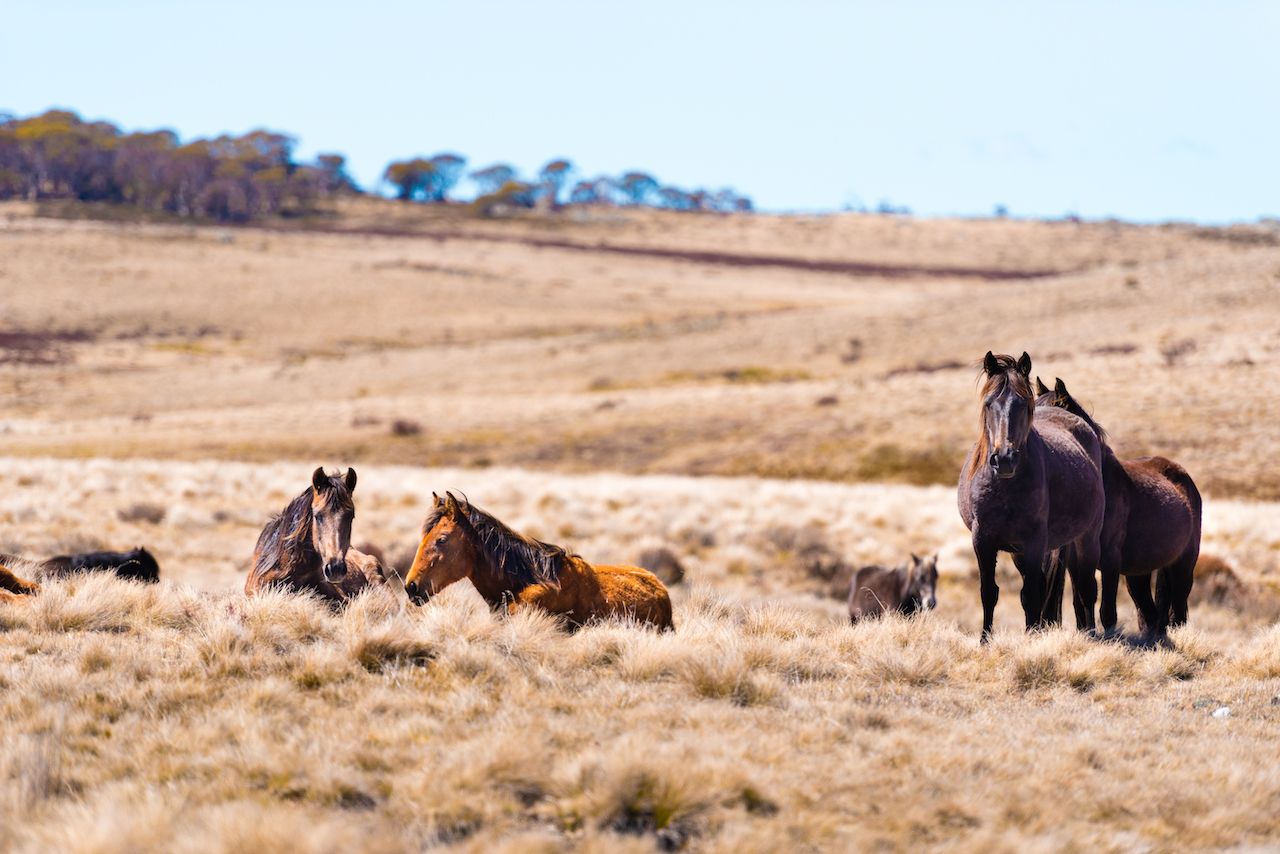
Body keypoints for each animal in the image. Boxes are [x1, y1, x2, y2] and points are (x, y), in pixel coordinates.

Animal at [957, 353, 1105, 640]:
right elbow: (989, 593)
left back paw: (1091, 634)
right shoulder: (983, 540)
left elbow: (1032, 595)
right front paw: (985, 640)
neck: (1005, 488)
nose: (1004, 459)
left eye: (1023, 403)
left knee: (1086, 588)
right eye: (989, 403)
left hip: (1087, 536)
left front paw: (1032, 638)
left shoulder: (1035, 541)